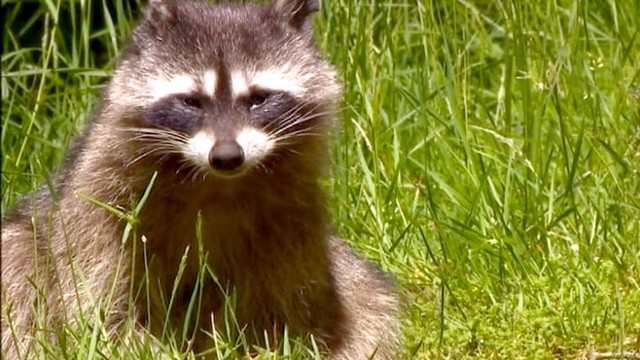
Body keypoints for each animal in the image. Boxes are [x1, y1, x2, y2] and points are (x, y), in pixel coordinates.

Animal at [1, 1, 400, 358]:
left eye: (259, 99)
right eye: (191, 101)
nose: (227, 156)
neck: (216, 184)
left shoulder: (294, 218)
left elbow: (295, 303)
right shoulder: (101, 205)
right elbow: (98, 296)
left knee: (368, 297)